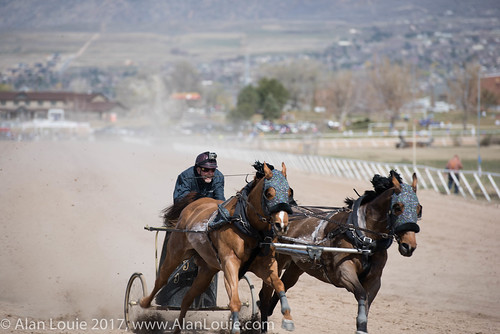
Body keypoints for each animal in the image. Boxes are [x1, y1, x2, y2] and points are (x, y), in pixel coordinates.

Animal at [140, 162, 296, 334]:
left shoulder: (265, 265)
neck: (247, 226)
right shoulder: (230, 263)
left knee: (187, 298)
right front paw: (235, 328)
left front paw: (288, 319)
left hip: (207, 270)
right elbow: (234, 301)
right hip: (175, 253)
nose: (282, 225)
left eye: (289, 192)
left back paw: (177, 329)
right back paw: (144, 303)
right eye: (268, 193)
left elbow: (279, 284)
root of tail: (195, 203)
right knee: (161, 280)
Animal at [258, 171, 422, 332]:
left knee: (284, 285)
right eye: (397, 207)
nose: (409, 245)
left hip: (297, 265)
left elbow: (367, 302)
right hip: (277, 260)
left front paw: (362, 326)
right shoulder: (343, 272)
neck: (363, 237)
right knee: (266, 293)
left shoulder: (375, 280)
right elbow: (361, 293)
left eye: (419, 209)